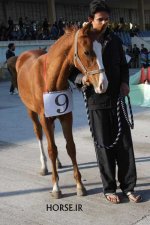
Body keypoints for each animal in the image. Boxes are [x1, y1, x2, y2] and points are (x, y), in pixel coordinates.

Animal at [16, 23, 108, 199]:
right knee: (39, 134)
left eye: (101, 50)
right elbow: (51, 149)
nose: (103, 84)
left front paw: (79, 185)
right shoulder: (44, 117)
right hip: (31, 111)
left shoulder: (66, 115)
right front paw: (56, 187)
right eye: (87, 52)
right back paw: (45, 166)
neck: (50, 78)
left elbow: (70, 147)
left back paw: (57, 163)